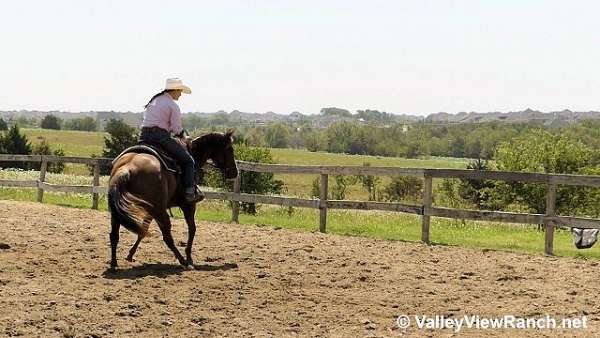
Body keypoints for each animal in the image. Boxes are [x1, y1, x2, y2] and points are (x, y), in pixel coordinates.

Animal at [106, 129, 238, 270]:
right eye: (230, 149)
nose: (235, 172)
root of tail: (127, 168)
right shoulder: (188, 205)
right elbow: (192, 229)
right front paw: (189, 257)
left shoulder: (151, 208)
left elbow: (144, 228)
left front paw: (130, 254)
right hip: (160, 211)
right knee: (167, 237)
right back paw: (183, 261)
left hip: (121, 211)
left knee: (114, 235)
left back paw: (113, 264)